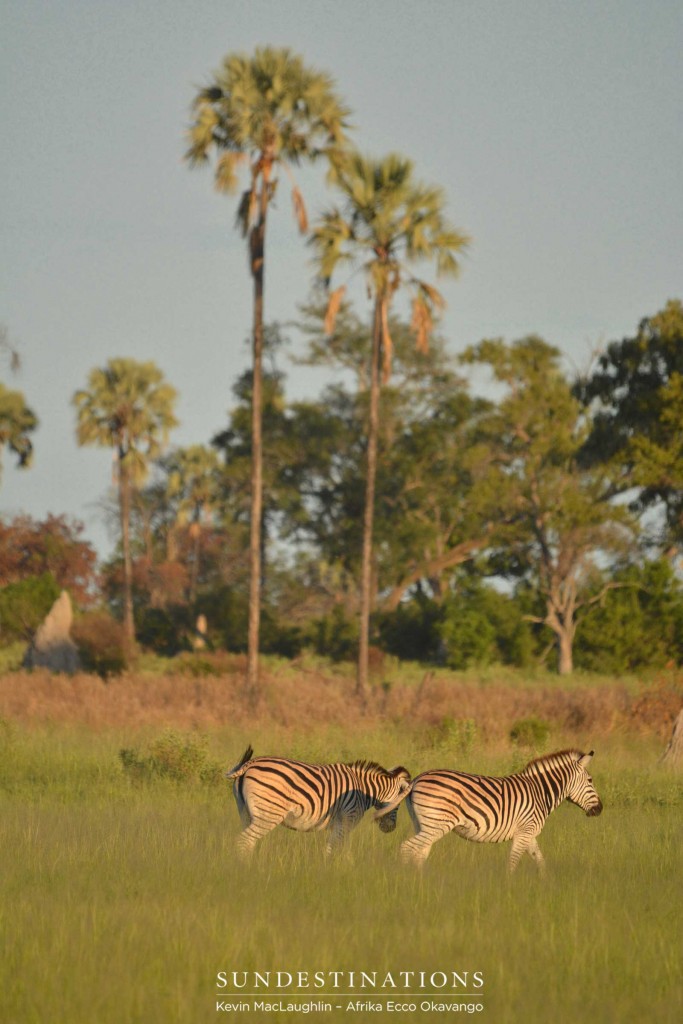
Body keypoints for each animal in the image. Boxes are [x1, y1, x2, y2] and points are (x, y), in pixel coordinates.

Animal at [227, 745, 413, 856]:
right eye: (399, 804)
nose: (390, 828)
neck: (364, 789)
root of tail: (248, 764)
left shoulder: (338, 824)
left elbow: (329, 849)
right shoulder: (346, 820)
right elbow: (333, 850)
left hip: (245, 812)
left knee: (247, 843)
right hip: (269, 813)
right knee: (244, 841)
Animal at [374, 745, 602, 872]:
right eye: (591, 781)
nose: (600, 809)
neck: (540, 792)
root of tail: (416, 780)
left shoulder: (529, 834)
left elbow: (540, 861)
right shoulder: (524, 832)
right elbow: (512, 863)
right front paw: (508, 891)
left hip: (423, 824)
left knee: (419, 853)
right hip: (437, 825)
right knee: (407, 848)